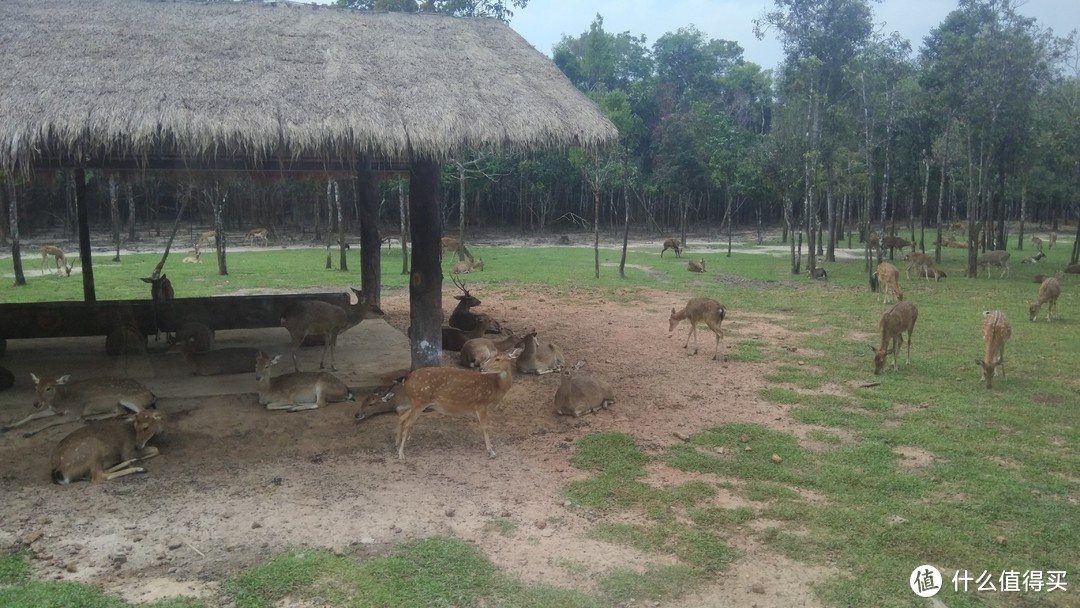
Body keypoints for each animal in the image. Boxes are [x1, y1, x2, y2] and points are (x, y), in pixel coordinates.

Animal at [1, 375, 157, 438]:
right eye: (35, 387)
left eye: (49, 388)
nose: (36, 403)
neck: (62, 402)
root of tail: (151, 394)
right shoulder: (54, 410)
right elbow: (33, 415)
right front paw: (7, 427)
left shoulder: (74, 412)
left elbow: (51, 422)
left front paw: (28, 432)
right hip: (118, 404)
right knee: (120, 411)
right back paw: (91, 419)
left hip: (130, 399)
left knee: (142, 412)